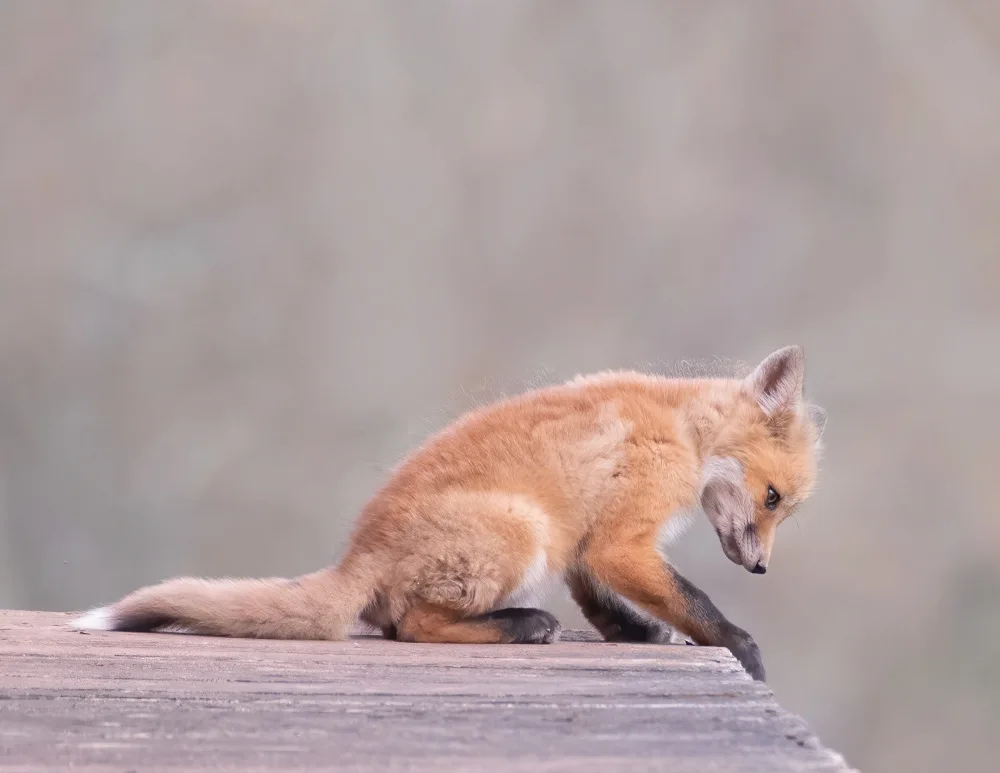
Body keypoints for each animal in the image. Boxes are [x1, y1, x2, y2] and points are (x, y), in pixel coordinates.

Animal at [71, 345, 826, 681]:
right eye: (772, 498)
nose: (760, 569)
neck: (683, 428)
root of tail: (356, 553)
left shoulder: (584, 543)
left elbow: (607, 604)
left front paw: (635, 635)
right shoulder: (620, 539)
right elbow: (693, 602)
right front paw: (740, 645)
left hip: (536, 536)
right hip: (521, 529)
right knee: (410, 625)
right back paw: (522, 625)